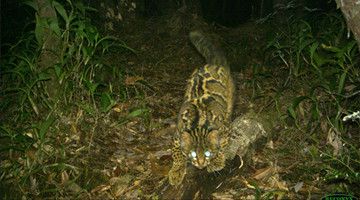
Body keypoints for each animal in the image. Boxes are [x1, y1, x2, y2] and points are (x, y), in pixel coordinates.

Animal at [169, 30, 236, 186]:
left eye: (207, 153)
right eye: (193, 153)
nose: (200, 164)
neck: (199, 123)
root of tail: (213, 63)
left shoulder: (225, 127)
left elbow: (222, 145)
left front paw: (217, 161)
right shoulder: (177, 133)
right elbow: (176, 152)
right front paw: (176, 171)